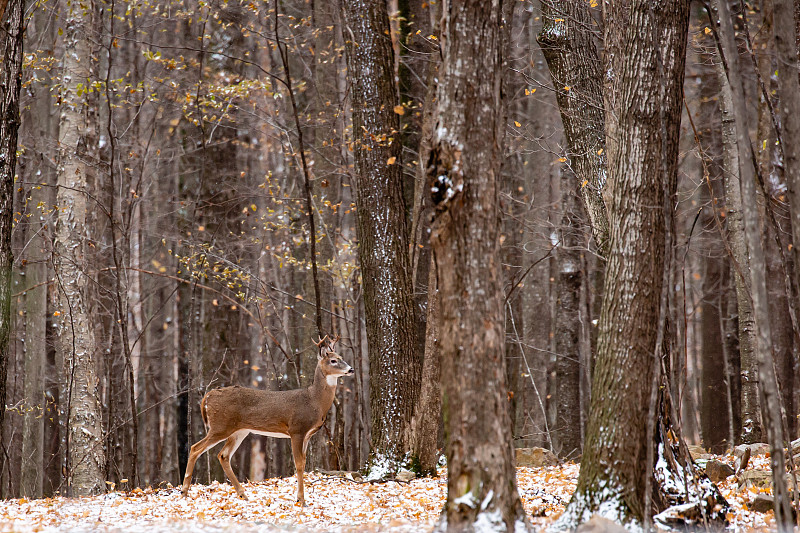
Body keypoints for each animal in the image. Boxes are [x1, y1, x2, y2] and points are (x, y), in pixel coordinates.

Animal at [184, 334, 356, 504]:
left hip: (239, 431)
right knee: (195, 448)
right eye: (333, 360)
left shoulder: (307, 434)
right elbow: (299, 464)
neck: (314, 401)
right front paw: (301, 500)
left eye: (341, 357)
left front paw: (301, 498)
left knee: (223, 455)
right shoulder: (296, 429)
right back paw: (184, 491)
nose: (351, 369)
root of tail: (209, 395)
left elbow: (304, 462)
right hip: (220, 426)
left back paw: (243, 495)